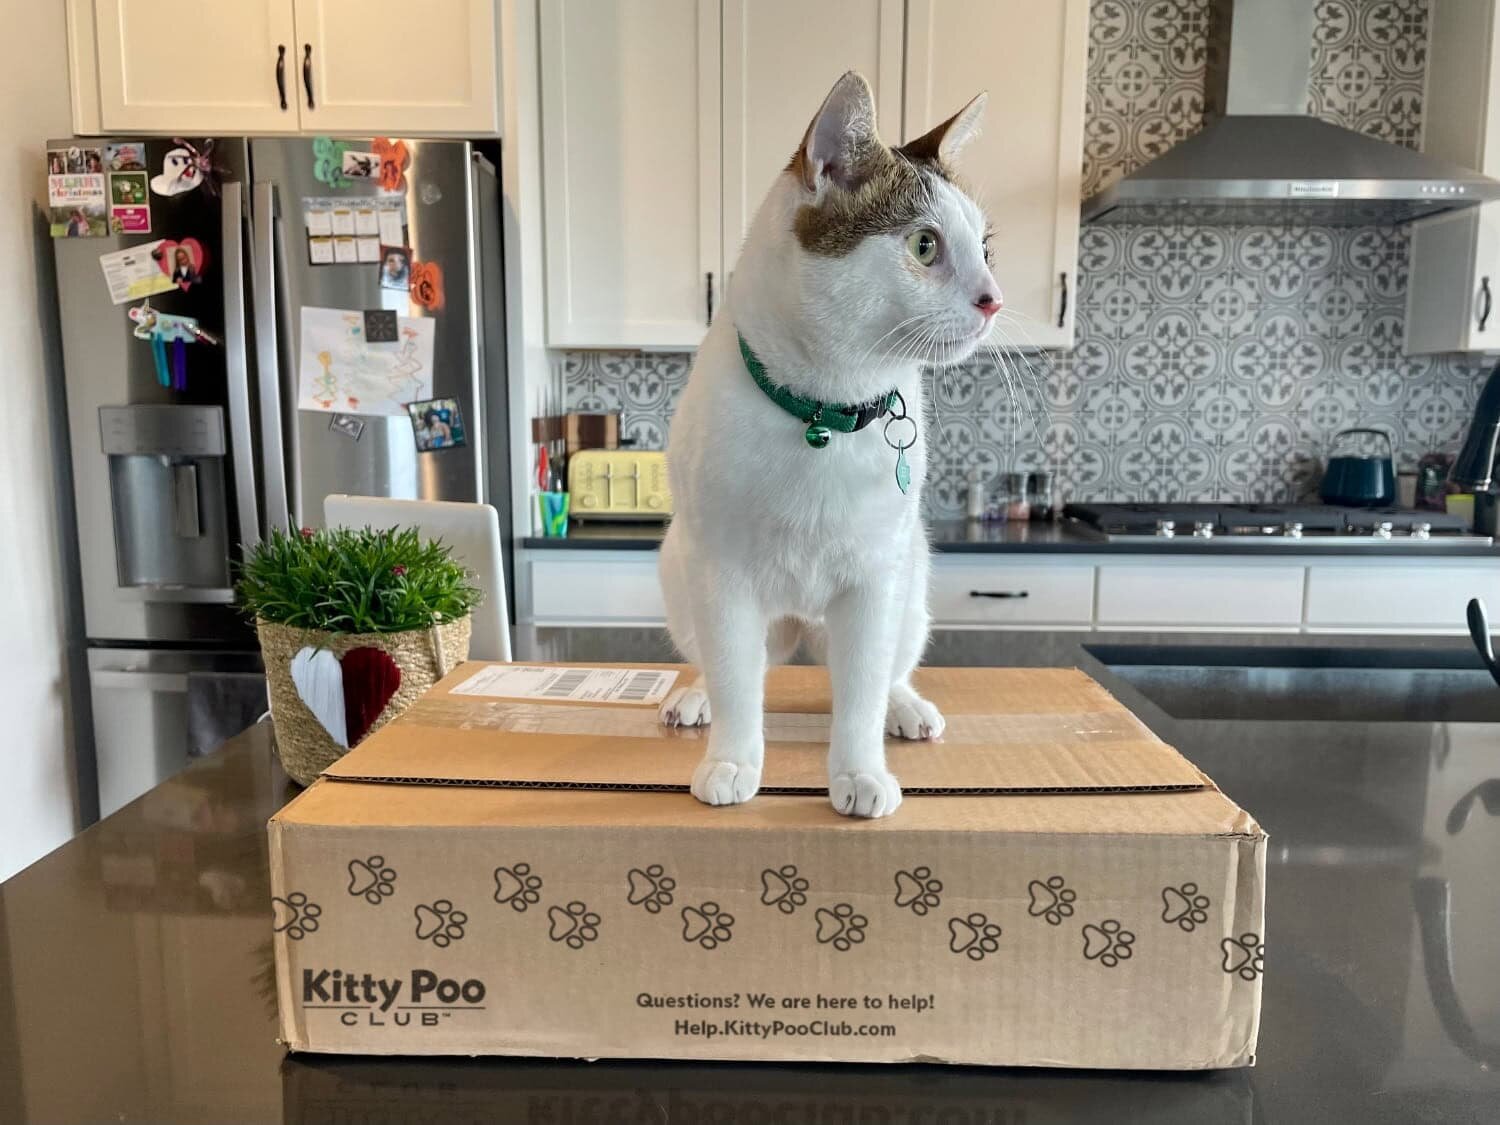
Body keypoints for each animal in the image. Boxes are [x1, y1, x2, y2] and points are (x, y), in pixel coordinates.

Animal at [657, 72, 996, 822]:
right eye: (924, 245)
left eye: (988, 247)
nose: (994, 298)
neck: (827, 411)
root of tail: (802, 628)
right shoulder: (722, 576)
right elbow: (736, 681)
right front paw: (732, 760)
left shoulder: (875, 579)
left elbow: (860, 695)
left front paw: (860, 773)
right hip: (679, 570)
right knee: (718, 664)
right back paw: (693, 697)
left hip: (913, 584)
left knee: (889, 671)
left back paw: (906, 708)